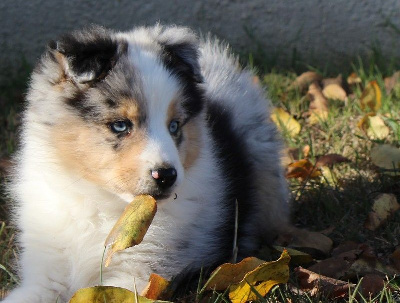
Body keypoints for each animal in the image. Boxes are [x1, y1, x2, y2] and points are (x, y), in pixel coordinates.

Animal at [4, 25, 290, 302]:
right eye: (120, 125)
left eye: (174, 126)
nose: (166, 175)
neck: (104, 204)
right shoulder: (47, 271)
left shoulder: (140, 271)